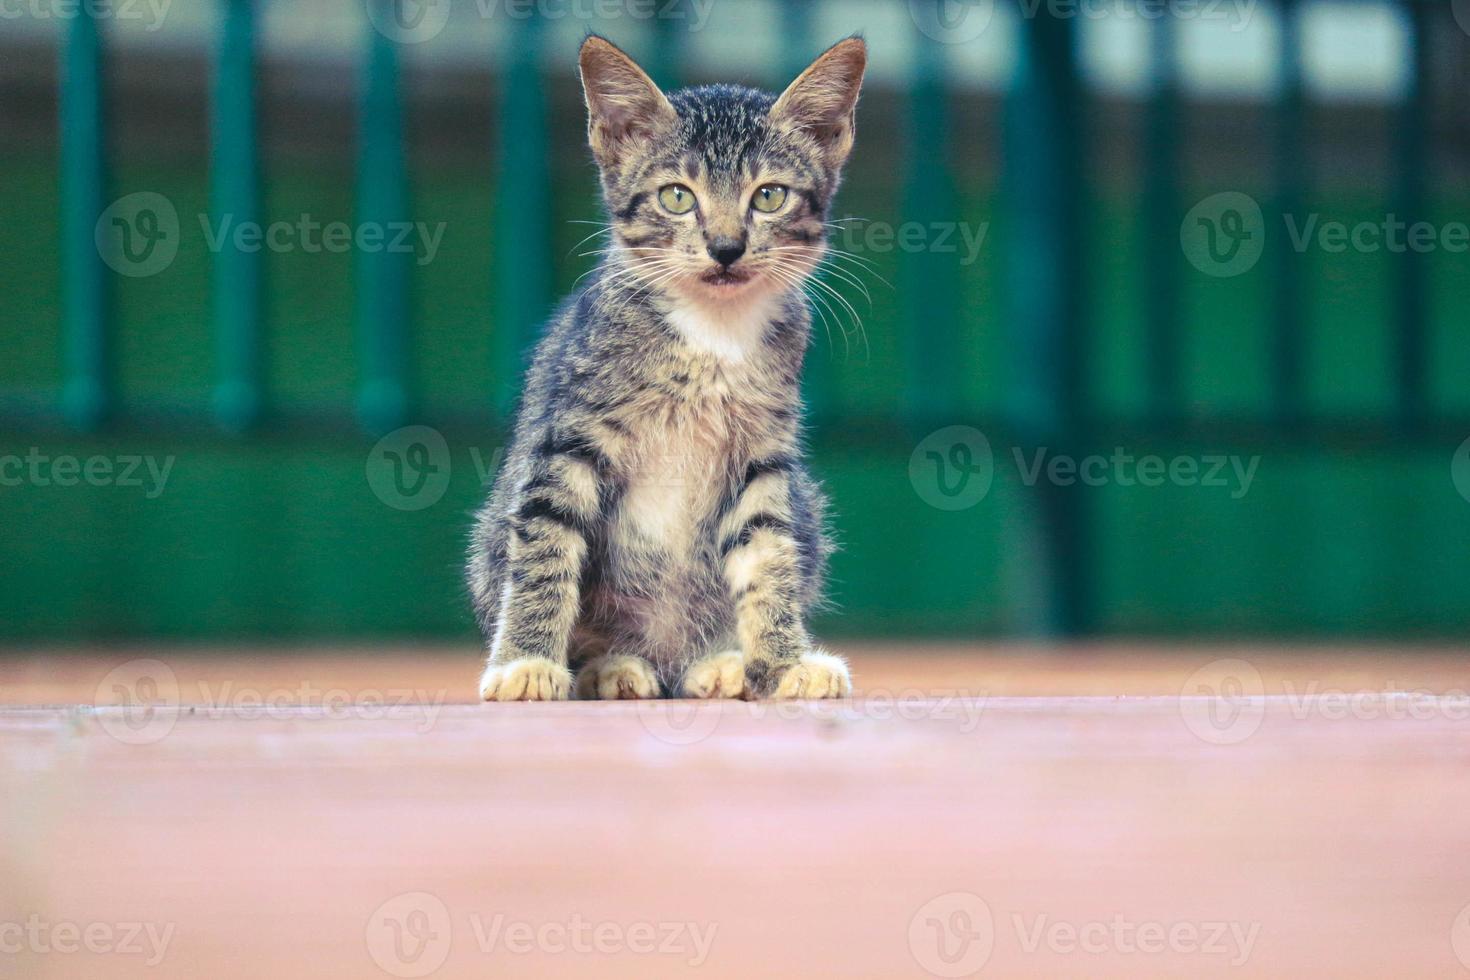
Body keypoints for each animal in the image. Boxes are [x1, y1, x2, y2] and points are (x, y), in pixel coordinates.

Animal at [464, 34, 864, 702]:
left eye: (769, 196)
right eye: (677, 196)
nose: (726, 247)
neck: (712, 333)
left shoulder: (762, 455)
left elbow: (770, 555)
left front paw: (783, 663)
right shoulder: (568, 437)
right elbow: (546, 550)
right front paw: (526, 661)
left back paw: (719, 663)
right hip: (494, 533)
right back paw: (609, 666)